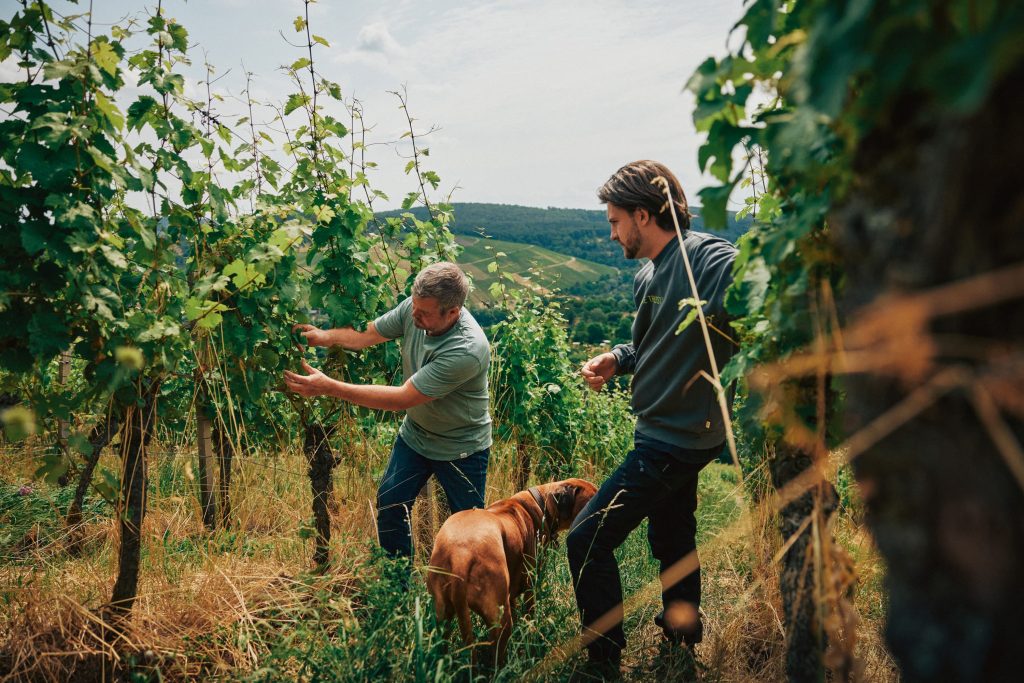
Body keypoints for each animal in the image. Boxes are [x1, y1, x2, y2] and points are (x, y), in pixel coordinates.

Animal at [425, 479, 598, 663]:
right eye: (591, 500)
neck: (542, 503)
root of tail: (461, 555)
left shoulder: (511, 593)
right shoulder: (530, 587)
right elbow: (530, 615)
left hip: (440, 619)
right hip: (500, 617)